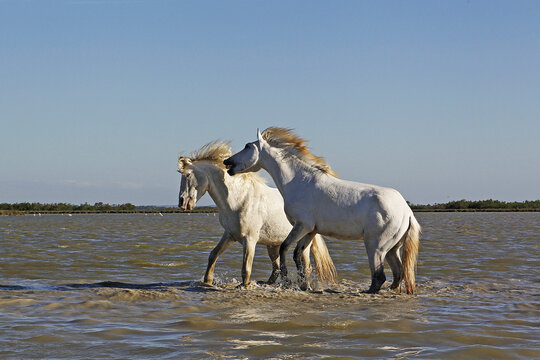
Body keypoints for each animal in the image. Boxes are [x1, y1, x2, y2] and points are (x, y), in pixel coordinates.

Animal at [179, 140, 336, 286]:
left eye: (187, 175)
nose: (182, 203)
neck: (238, 199)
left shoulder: (249, 239)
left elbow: (246, 270)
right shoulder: (230, 235)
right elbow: (213, 255)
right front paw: (207, 282)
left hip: (303, 242)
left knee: (306, 267)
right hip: (273, 246)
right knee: (276, 269)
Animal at [224, 128, 422, 294]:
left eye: (247, 146)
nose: (227, 162)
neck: (299, 181)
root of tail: (407, 211)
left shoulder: (302, 226)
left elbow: (284, 248)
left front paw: (287, 282)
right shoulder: (310, 230)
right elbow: (299, 255)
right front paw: (304, 284)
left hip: (376, 246)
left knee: (380, 276)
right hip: (392, 248)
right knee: (398, 273)